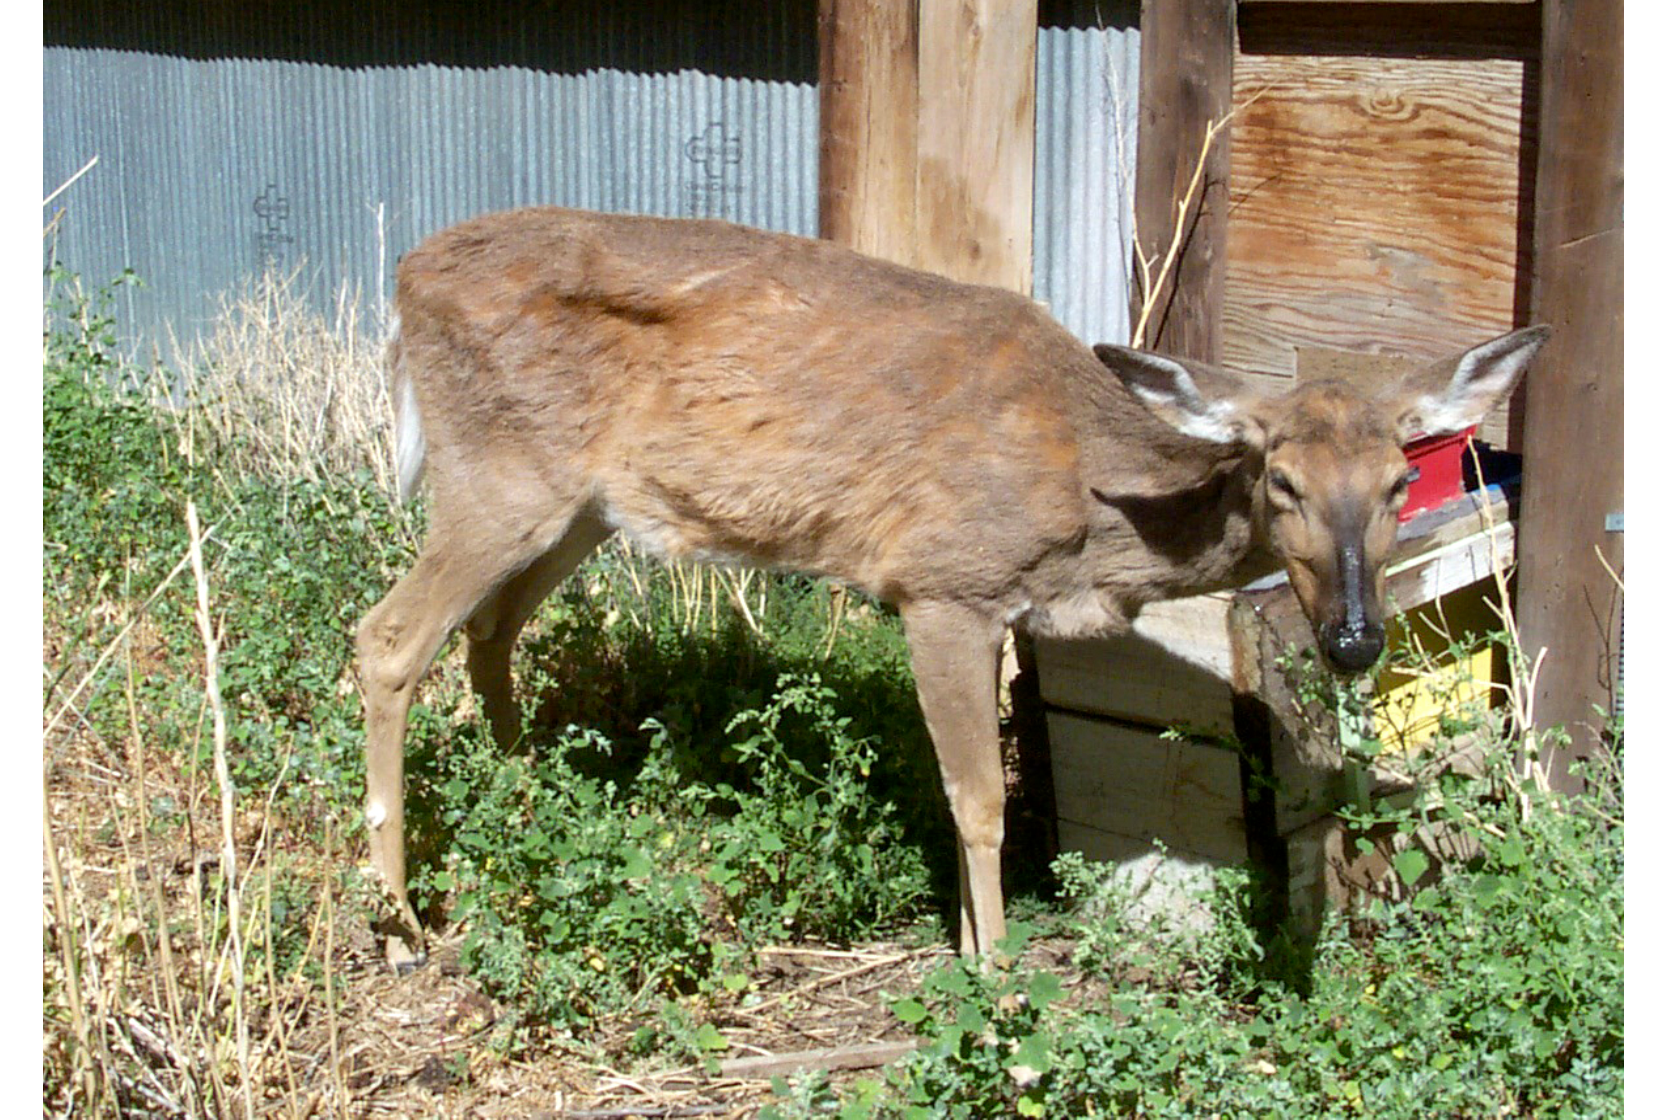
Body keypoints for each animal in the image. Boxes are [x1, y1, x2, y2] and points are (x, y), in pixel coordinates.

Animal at [356, 206, 1550, 969]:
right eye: (1283, 479)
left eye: (1398, 483)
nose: (1353, 640)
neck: (1091, 506)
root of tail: (403, 280)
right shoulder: (940, 582)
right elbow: (979, 799)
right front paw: (995, 972)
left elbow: (963, 790)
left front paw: (976, 945)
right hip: (499, 474)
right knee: (388, 639)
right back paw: (405, 923)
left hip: (582, 506)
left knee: (489, 634)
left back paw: (530, 803)